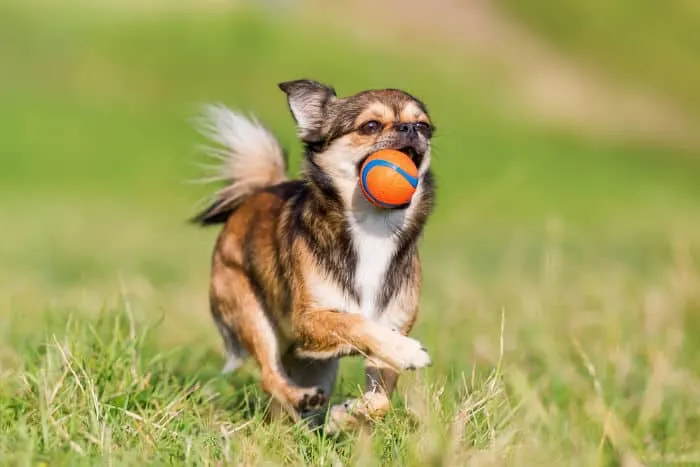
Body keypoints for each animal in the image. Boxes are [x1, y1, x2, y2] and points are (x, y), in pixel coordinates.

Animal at [191, 78, 438, 434]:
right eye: (371, 126)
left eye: (423, 126)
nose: (409, 129)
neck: (373, 227)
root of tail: (259, 192)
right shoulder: (308, 320)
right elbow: (355, 322)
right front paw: (406, 351)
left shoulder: (391, 328)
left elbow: (381, 402)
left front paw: (347, 415)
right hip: (251, 313)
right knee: (269, 375)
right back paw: (301, 397)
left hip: (316, 365)